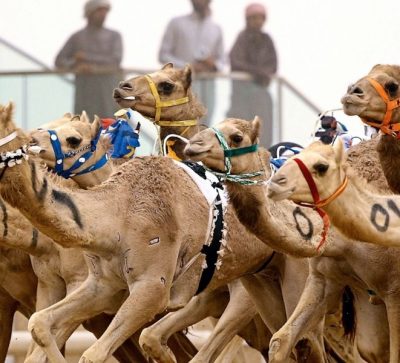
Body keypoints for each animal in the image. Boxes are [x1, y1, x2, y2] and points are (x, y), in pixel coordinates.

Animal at [183, 117, 400, 363]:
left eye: (237, 137)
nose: (193, 144)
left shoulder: (394, 289)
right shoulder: (323, 277)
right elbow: (283, 340)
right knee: (371, 347)